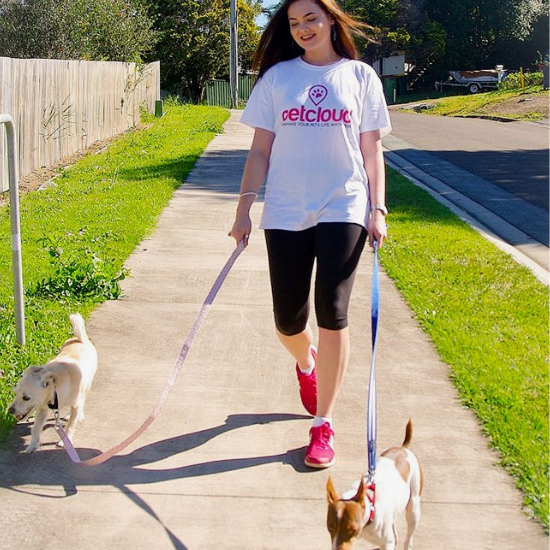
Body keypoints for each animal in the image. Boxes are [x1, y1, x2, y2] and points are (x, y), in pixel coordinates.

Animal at [8, 312, 98, 454]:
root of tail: (81, 339)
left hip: (86, 386)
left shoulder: (75, 404)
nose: (10, 410)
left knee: (82, 400)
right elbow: (35, 429)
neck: (54, 391)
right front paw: (32, 446)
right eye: (15, 393)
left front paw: (65, 441)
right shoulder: (42, 409)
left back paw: (76, 415)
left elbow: (70, 425)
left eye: (26, 398)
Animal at [330, 420, 424, 548]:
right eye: (330, 527)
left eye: (353, 530)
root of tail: (403, 448)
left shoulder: (387, 542)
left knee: (408, 538)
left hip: (413, 509)